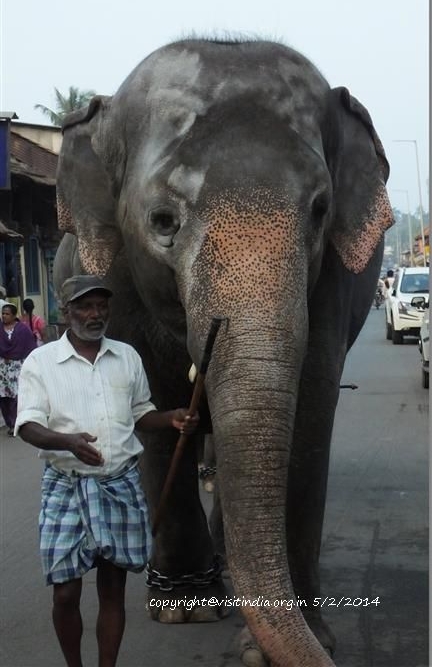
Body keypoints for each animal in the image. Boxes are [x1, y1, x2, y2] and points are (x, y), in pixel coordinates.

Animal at [52, 37, 394, 667]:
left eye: (320, 210)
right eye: (162, 220)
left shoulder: (333, 283)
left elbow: (310, 407)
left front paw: (291, 639)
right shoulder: (115, 275)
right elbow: (152, 402)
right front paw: (184, 610)